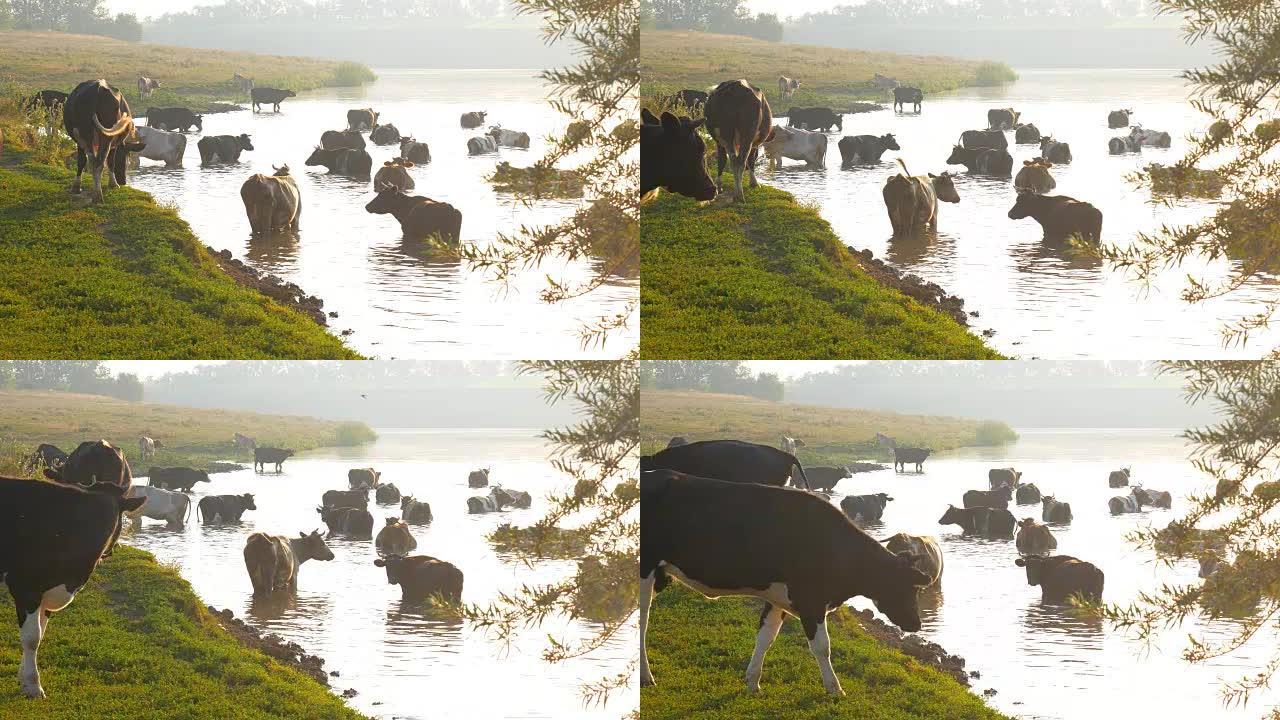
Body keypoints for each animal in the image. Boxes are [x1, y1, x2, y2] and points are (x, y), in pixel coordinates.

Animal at [0, 438, 144, 696]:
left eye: (114, 512)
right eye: (89, 509)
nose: (103, 541)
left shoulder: (50, 590)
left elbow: (41, 632)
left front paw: (23, 677)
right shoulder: (25, 586)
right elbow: (32, 637)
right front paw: (33, 685)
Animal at [640, 468, 931, 691]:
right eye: (908, 588)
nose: (916, 624)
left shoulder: (778, 597)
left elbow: (765, 638)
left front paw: (752, 682)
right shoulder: (810, 600)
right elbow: (822, 647)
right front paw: (834, 688)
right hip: (644, 570)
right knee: (641, 623)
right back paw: (646, 675)